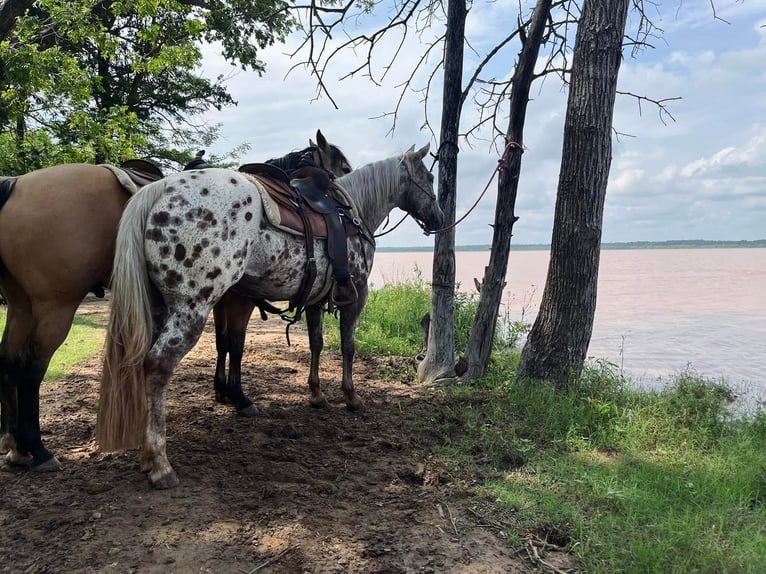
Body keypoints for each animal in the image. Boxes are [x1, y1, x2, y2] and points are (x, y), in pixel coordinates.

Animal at [0, 132, 348, 472]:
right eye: (341, 168)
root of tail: (16, 184)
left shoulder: (221, 299)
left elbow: (223, 342)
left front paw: (222, 390)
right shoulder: (237, 299)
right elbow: (235, 344)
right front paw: (238, 396)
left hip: (21, 306)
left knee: (9, 359)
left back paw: (14, 445)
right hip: (54, 307)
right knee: (32, 368)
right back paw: (38, 449)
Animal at [97, 145, 444, 490]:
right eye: (429, 178)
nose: (439, 218)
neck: (353, 211)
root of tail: (160, 188)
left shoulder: (315, 301)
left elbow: (316, 344)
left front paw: (317, 394)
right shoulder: (356, 296)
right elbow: (348, 346)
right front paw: (351, 397)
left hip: (159, 308)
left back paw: (146, 457)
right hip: (191, 307)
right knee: (158, 366)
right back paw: (160, 464)